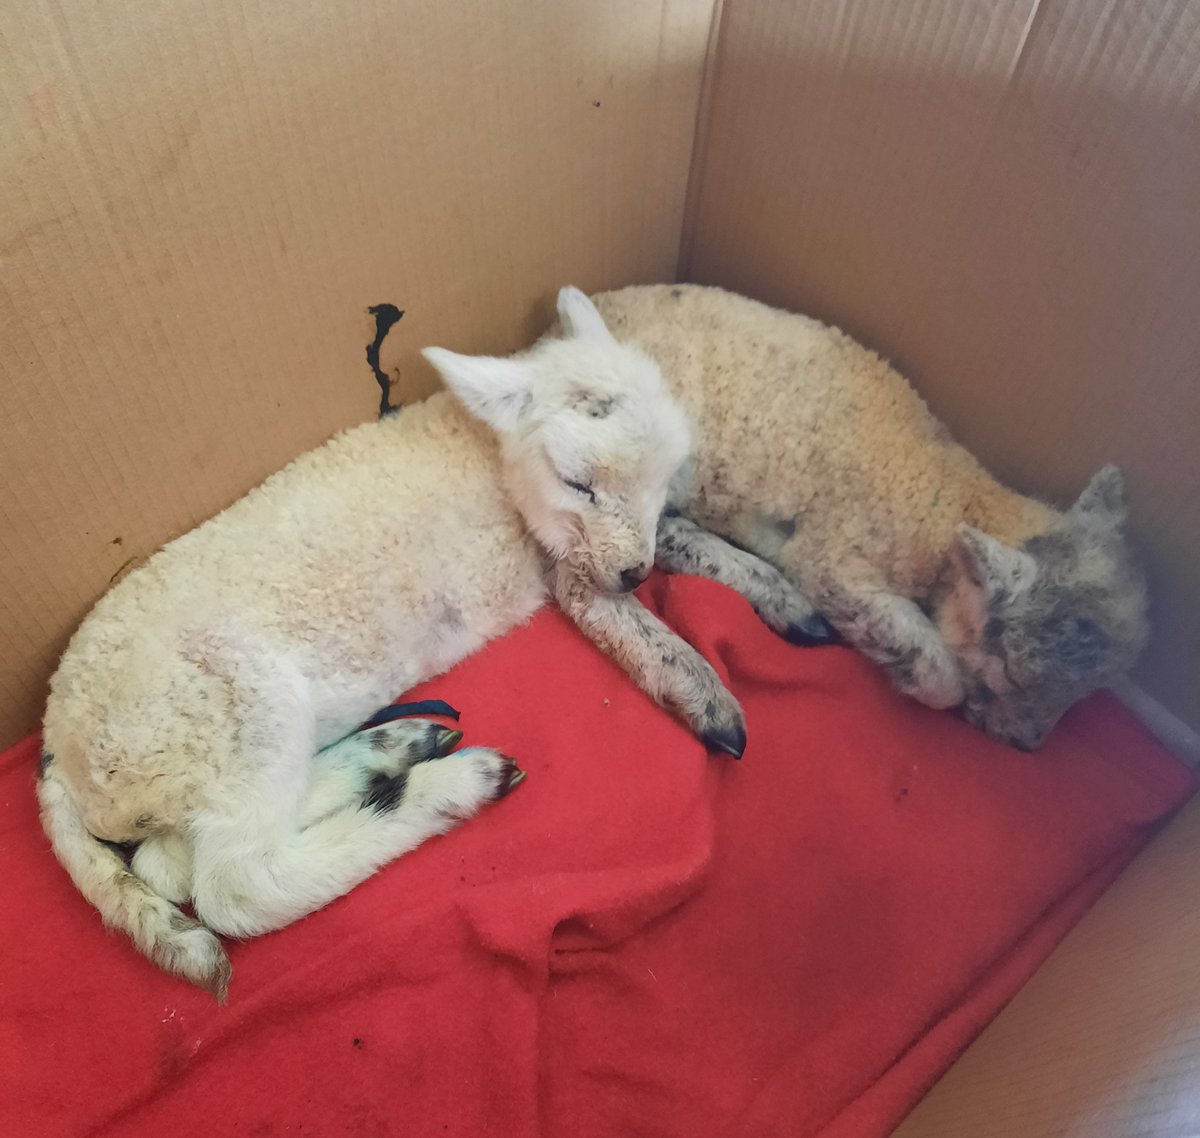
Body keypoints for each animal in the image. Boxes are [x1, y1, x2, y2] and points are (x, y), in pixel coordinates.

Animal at [38, 287, 804, 998]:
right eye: (578, 482)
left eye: (667, 472)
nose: (635, 573)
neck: (489, 454)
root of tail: (57, 749)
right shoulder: (573, 567)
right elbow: (634, 623)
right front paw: (712, 701)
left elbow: (686, 537)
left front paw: (786, 598)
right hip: (233, 708)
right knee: (234, 885)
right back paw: (450, 786)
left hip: (211, 763)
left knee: (168, 862)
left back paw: (394, 748)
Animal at [587, 284, 1148, 751]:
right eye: (1010, 674)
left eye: (1087, 693)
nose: (1025, 745)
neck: (950, 495)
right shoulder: (832, 560)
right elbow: (940, 676)